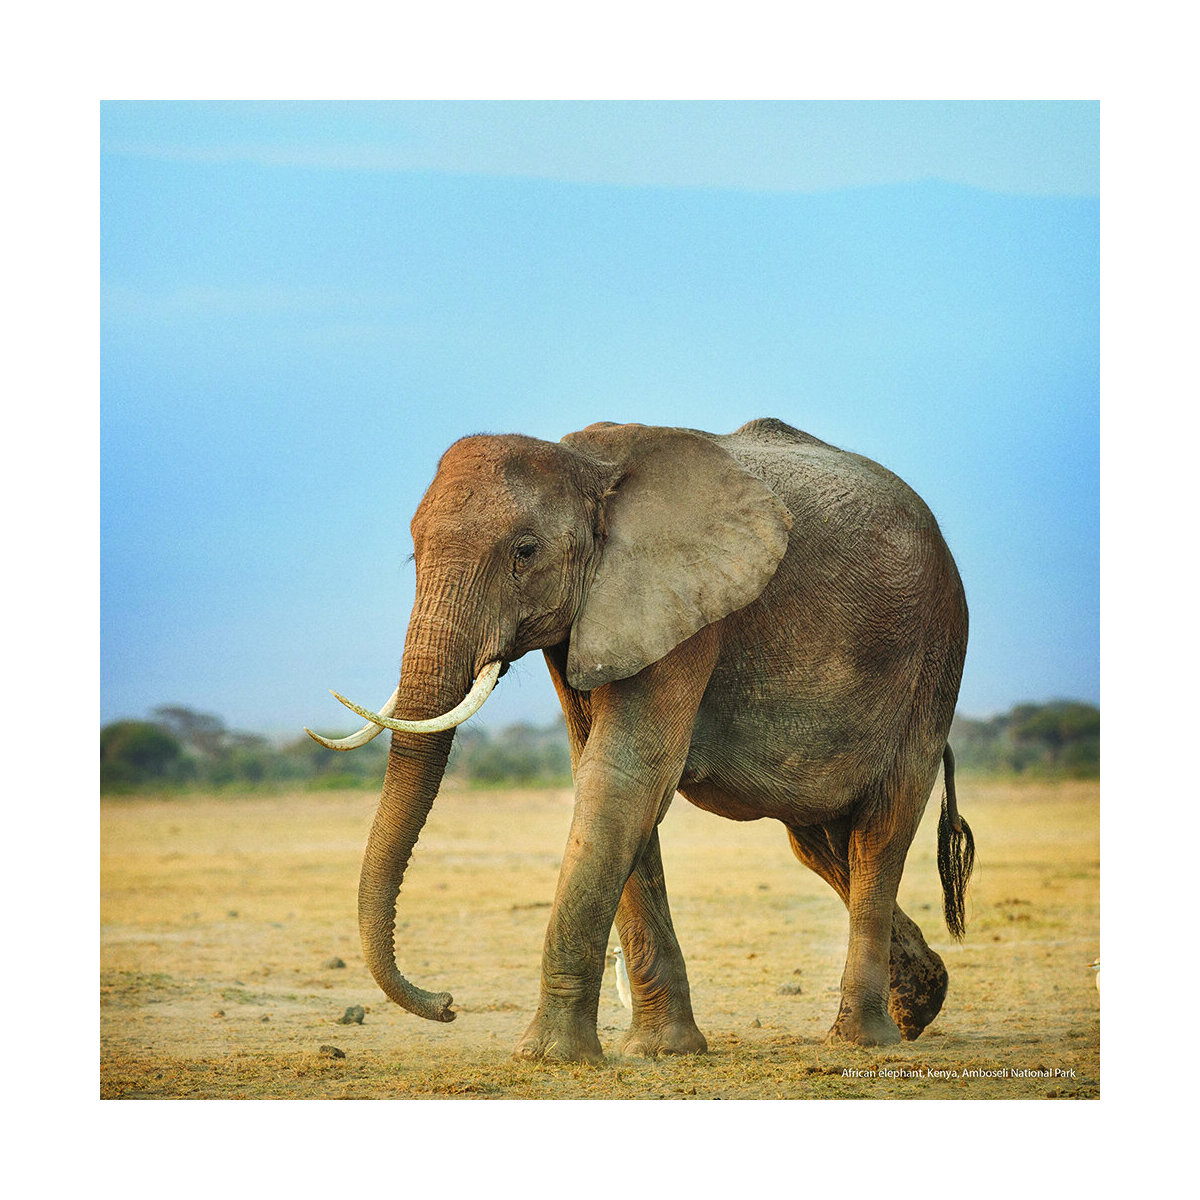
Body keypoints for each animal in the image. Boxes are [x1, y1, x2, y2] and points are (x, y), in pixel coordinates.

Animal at [307, 417, 974, 1060]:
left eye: (525, 552)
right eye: (414, 553)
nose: (446, 1003)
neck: (586, 464)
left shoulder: (680, 605)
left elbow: (622, 778)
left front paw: (547, 1057)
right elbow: (610, 786)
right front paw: (662, 1050)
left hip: (934, 660)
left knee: (881, 830)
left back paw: (862, 1039)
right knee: (820, 843)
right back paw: (920, 1004)